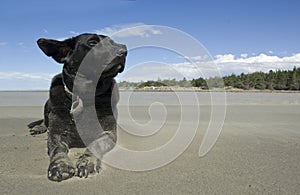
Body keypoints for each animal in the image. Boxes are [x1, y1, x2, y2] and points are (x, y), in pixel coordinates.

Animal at [27, 33, 126, 181]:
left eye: (112, 42)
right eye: (92, 42)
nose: (124, 51)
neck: (86, 96)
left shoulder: (108, 133)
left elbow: (95, 144)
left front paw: (87, 161)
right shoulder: (57, 133)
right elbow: (58, 148)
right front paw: (60, 164)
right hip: (47, 105)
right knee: (45, 121)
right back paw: (39, 128)